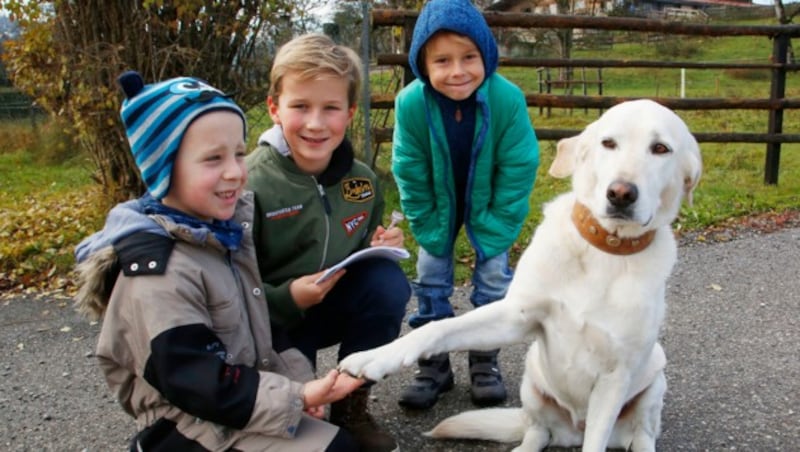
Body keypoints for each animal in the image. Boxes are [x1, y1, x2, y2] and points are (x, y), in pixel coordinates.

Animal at [338, 100, 700, 452]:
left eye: (661, 148)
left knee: (641, 436)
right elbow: (436, 329)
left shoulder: (615, 377)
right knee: (537, 433)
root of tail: (572, 431)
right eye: (608, 143)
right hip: (532, 382)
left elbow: (598, 441)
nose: (621, 193)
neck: (604, 251)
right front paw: (373, 357)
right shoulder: (515, 316)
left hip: (654, 381)